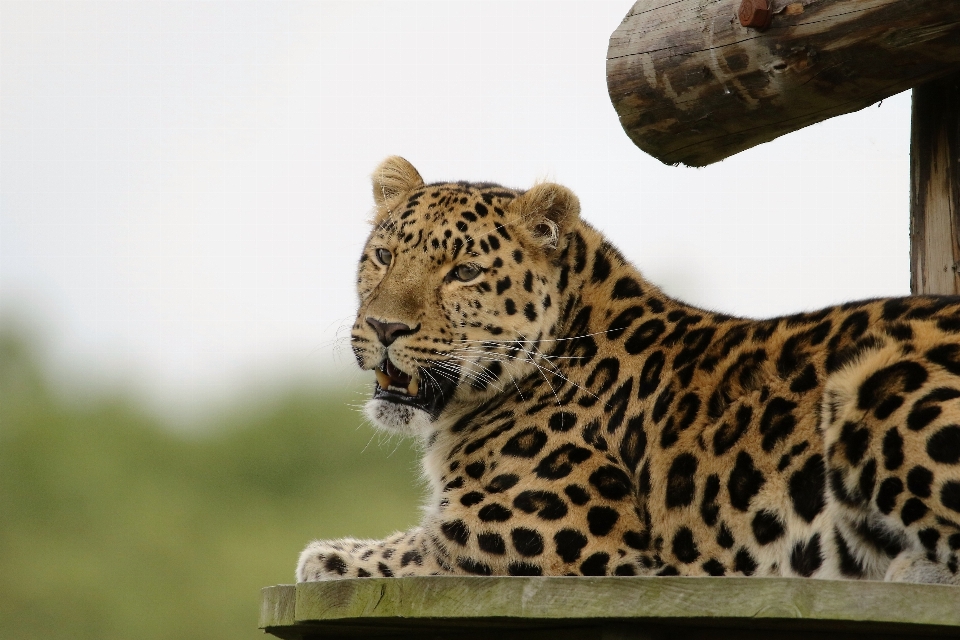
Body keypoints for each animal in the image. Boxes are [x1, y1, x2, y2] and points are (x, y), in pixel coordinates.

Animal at [296, 156, 960, 584]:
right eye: (384, 256)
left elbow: (413, 550)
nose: (384, 327)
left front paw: (326, 557)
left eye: (464, 273)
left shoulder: (544, 535)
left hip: (873, 382)